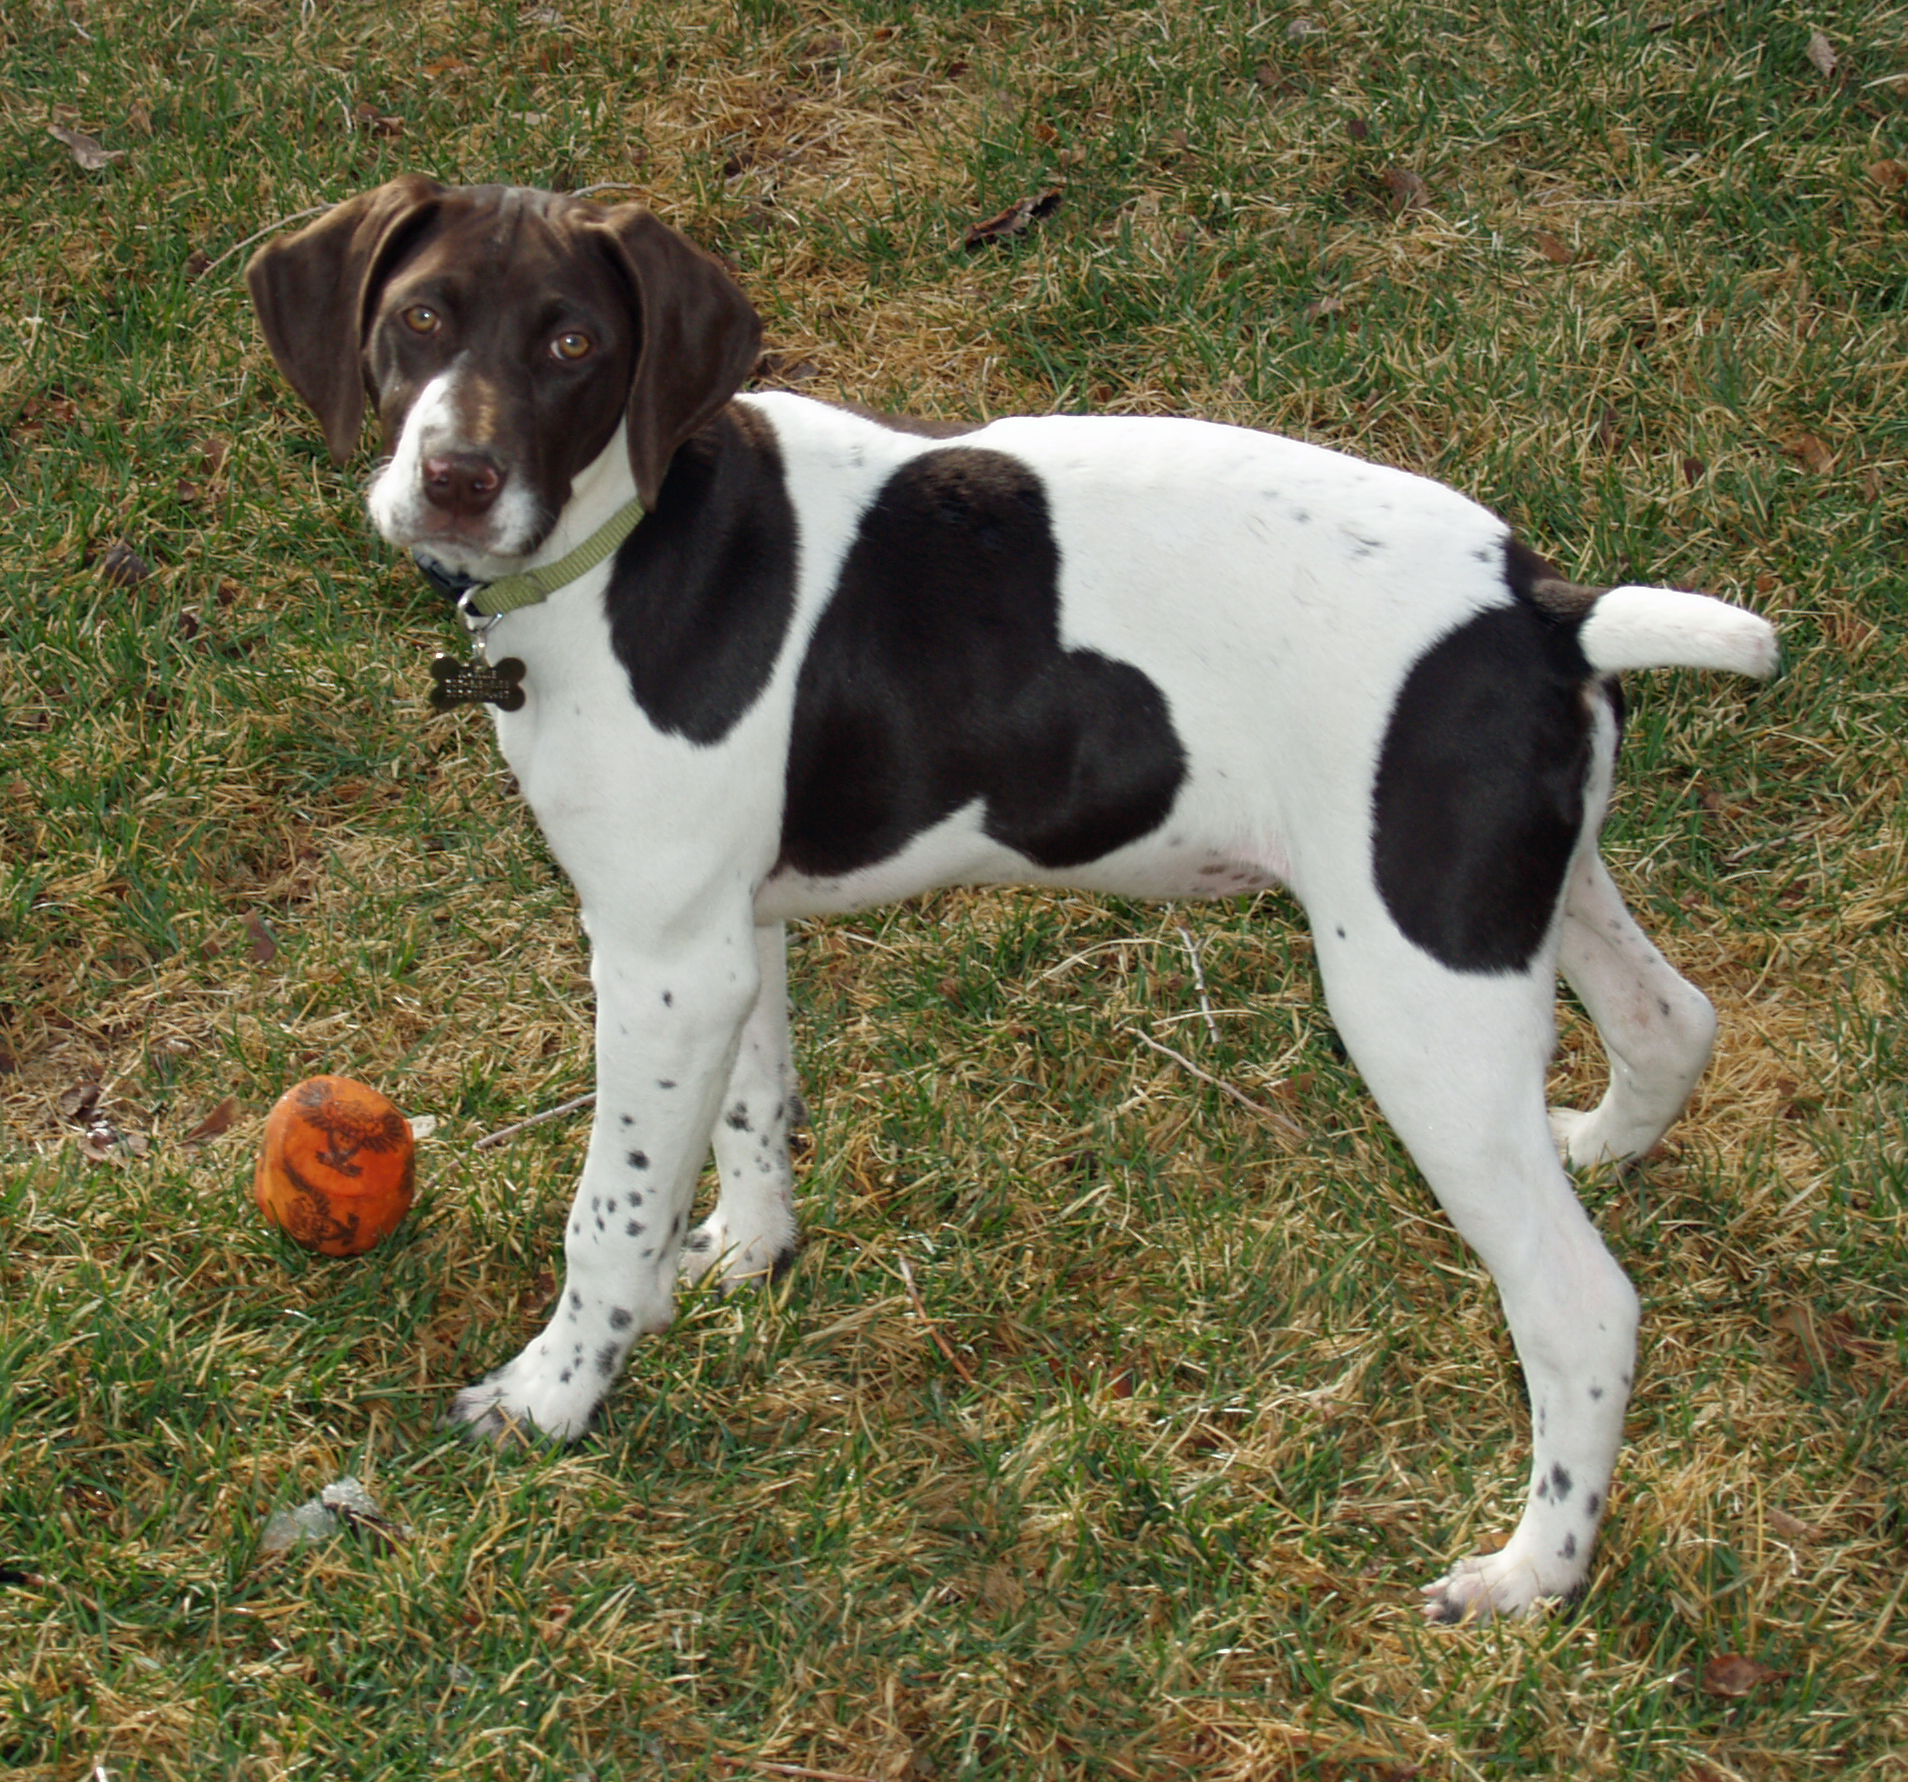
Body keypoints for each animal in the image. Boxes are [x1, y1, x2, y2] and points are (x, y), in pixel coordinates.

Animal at [246, 177, 1778, 1617]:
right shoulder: (725, 937)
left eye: (572, 343)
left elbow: (609, 1214)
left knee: (1579, 1306)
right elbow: (753, 1107)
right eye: (421, 319)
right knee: (1671, 1021)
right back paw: (1604, 1146)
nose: (454, 476)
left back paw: (1535, 1573)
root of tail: (1547, 610)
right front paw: (750, 1251)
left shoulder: (660, 959)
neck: (628, 542)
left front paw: (556, 1392)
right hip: (1519, 900)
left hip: (1419, 1003)